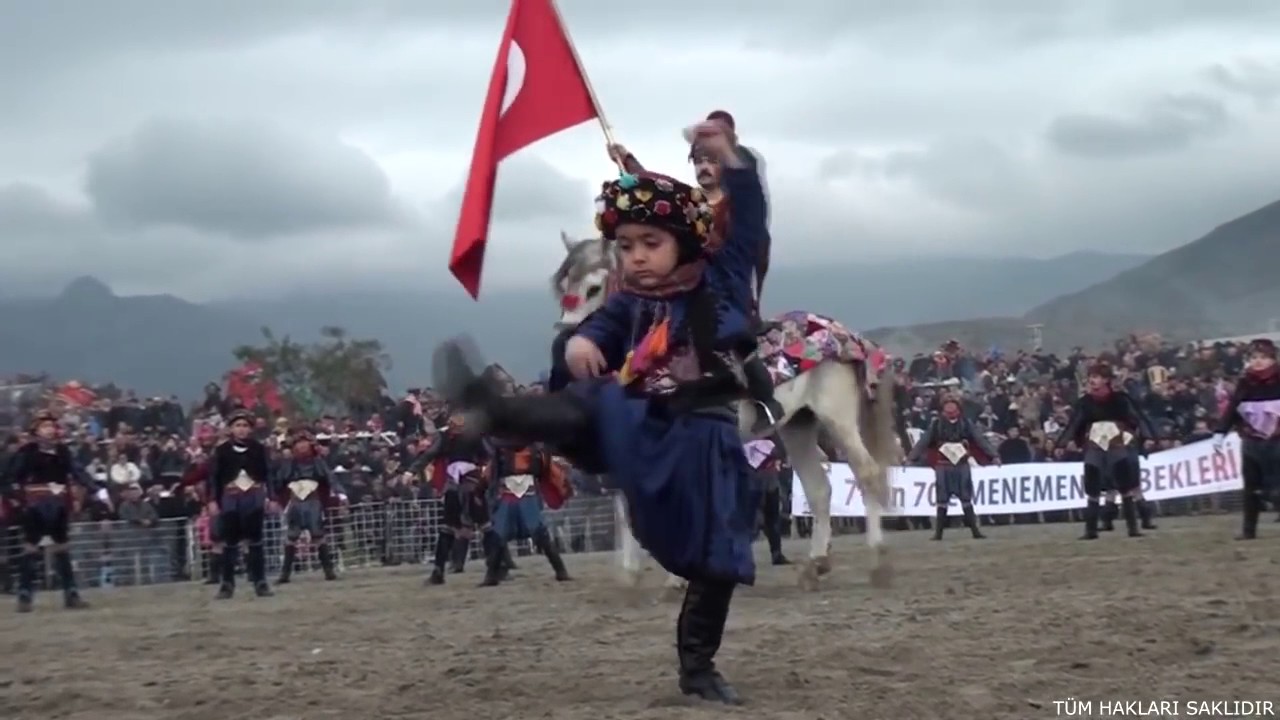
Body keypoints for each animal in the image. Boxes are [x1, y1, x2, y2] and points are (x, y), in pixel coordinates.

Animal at [550, 230, 901, 589]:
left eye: (593, 288)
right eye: (562, 288)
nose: (564, 343)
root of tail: (845, 335)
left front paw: (675, 578)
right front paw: (631, 576)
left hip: (837, 419)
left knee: (866, 473)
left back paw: (877, 560)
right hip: (798, 426)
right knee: (819, 489)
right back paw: (816, 563)